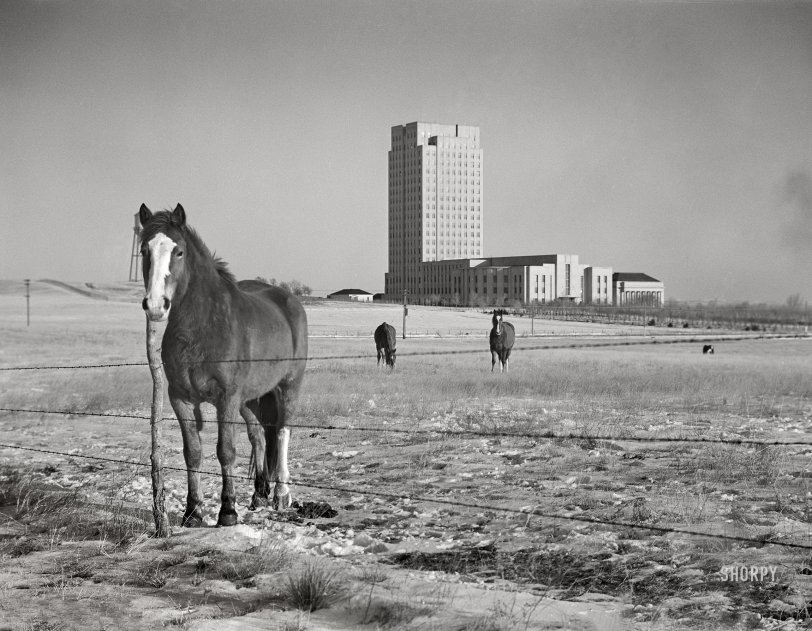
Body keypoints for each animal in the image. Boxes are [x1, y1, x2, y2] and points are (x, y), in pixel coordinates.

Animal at [138, 204, 306, 528]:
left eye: (178, 251)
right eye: (144, 250)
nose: (155, 305)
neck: (202, 327)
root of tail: (288, 299)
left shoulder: (226, 399)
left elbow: (225, 451)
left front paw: (227, 511)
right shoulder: (180, 398)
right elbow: (193, 452)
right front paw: (193, 512)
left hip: (288, 387)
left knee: (282, 432)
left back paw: (281, 495)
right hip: (250, 399)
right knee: (259, 436)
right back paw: (259, 494)